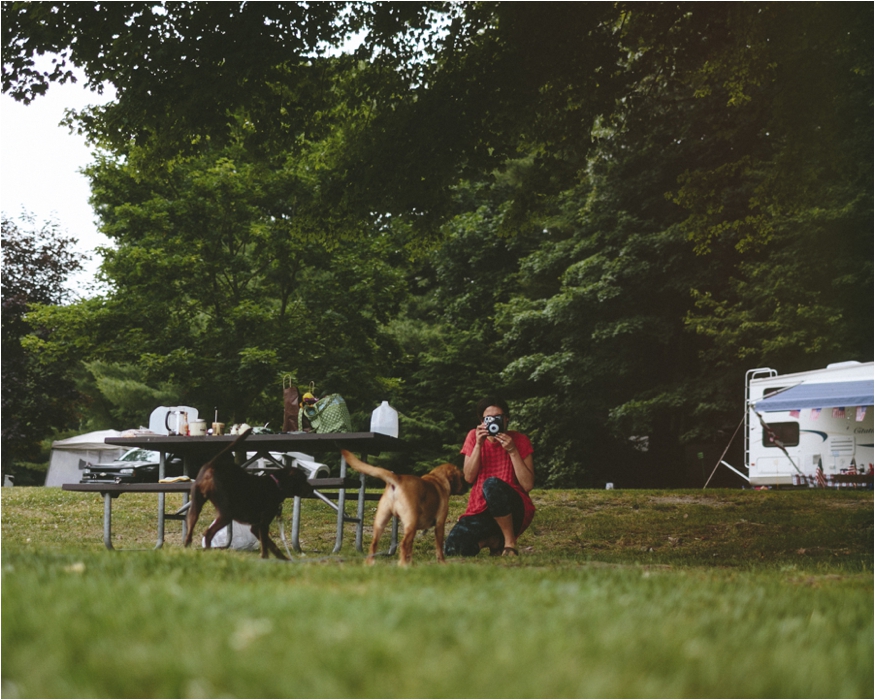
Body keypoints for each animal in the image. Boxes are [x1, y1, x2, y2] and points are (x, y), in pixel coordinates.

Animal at [183, 426, 314, 556]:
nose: (312, 490)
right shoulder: (263, 524)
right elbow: (266, 549)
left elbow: (273, 547)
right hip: (226, 513)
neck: (276, 484)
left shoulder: (255, 527)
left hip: (195, 507)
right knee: (208, 533)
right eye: (303, 480)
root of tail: (212, 465)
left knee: (189, 535)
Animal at [340, 452, 468, 568]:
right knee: (403, 544)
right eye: (462, 476)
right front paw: (442, 562)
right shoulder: (440, 524)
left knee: (374, 544)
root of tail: (397, 479)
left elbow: (410, 550)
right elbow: (439, 547)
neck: (438, 479)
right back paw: (402, 565)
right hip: (411, 524)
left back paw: (370, 564)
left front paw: (411, 563)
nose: (468, 485)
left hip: (381, 522)